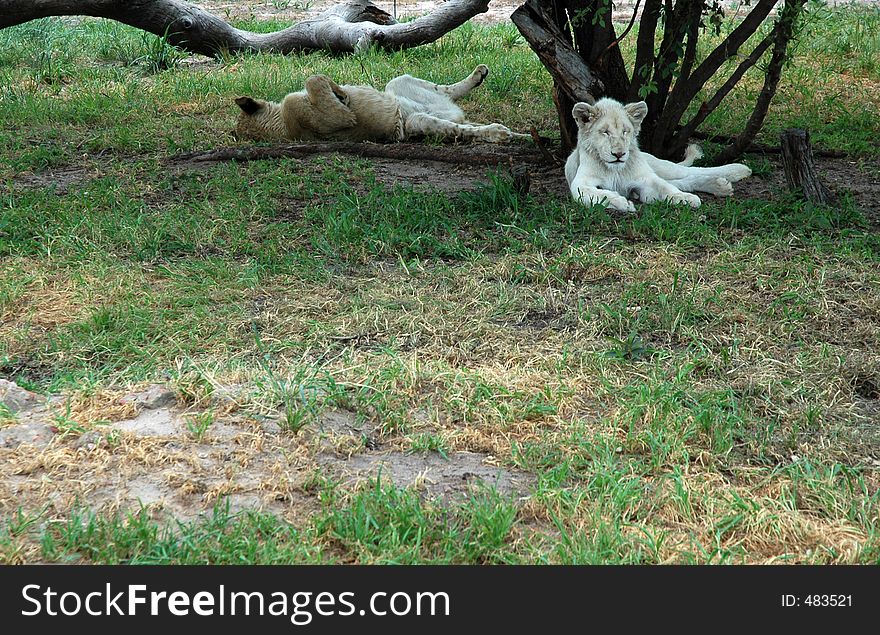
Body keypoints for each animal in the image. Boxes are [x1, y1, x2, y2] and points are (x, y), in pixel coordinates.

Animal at [230, 64, 528, 144]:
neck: (279, 123)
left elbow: (314, 78)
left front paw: (341, 90)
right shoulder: (330, 118)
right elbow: (313, 79)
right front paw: (340, 93)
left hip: (399, 82)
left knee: (446, 91)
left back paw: (479, 74)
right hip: (416, 122)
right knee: (462, 129)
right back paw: (498, 132)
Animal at [564, 97, 748, 211]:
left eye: (625, 131)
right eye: (605, 132)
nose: (619, 154)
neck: (615, 170)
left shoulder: (646, 179)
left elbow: (665, 187)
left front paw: (684, 198)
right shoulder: (580, 183)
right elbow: (595, 194)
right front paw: (621, 203)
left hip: (661, 166)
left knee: (690, 172)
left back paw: (739, 170)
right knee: (684, 180)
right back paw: (720, 186)